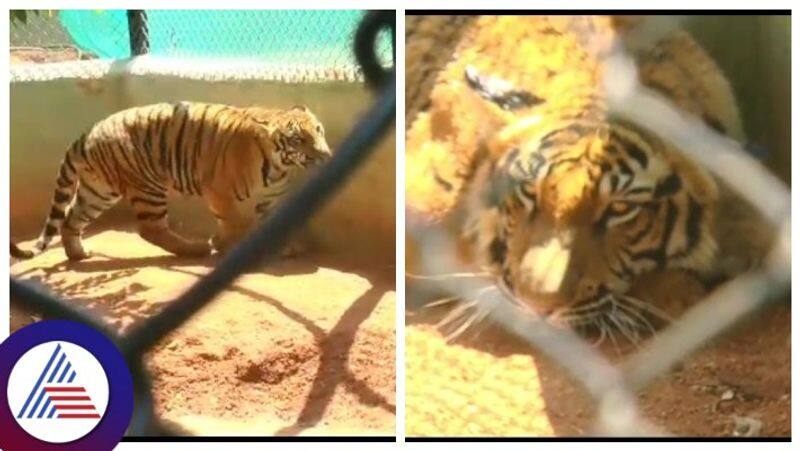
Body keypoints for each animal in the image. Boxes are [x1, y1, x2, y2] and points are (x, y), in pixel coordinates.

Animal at [12, 102, 332, 262]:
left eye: (318, 130)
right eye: (298, 140)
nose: (326, 155)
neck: (280, 167)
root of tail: (86, 132)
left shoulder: (270, 200)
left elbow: (272, 223)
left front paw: (282, 246)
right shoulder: (220, 192)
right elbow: (237, 223)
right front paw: (226, 244)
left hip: (98, 191)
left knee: (70, 219)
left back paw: (78, 255)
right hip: (147, 185)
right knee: (150, 230)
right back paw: (198, 249)